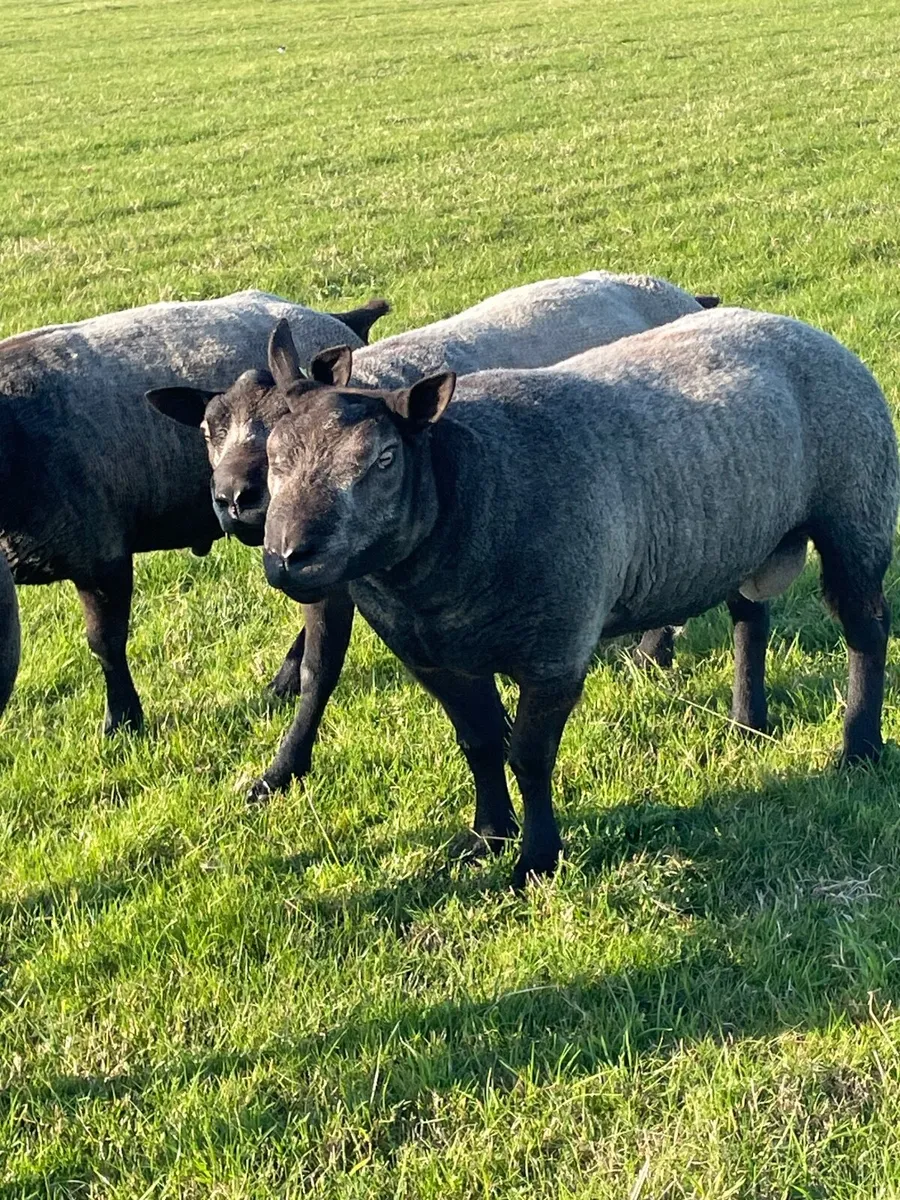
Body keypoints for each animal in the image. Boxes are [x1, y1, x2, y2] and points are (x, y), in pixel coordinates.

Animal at [0, 290, 388, 731]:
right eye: (204, 430)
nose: (231, 496)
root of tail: (341, 320)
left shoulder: (100, 554)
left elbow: (105, 644)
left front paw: (123, 721)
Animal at [258, 306, 897, 887]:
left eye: (385, 460)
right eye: (274, 455)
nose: (288, 557)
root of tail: (802, 328)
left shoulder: (556, 650)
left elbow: (528, 756)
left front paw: (536, 862)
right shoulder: (434, 660)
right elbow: (480, 743)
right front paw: (488, 836)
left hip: (856, 510)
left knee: (865, 630)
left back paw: (859, 749)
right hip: (746, 536)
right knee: (749, 617)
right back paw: (747, 724)